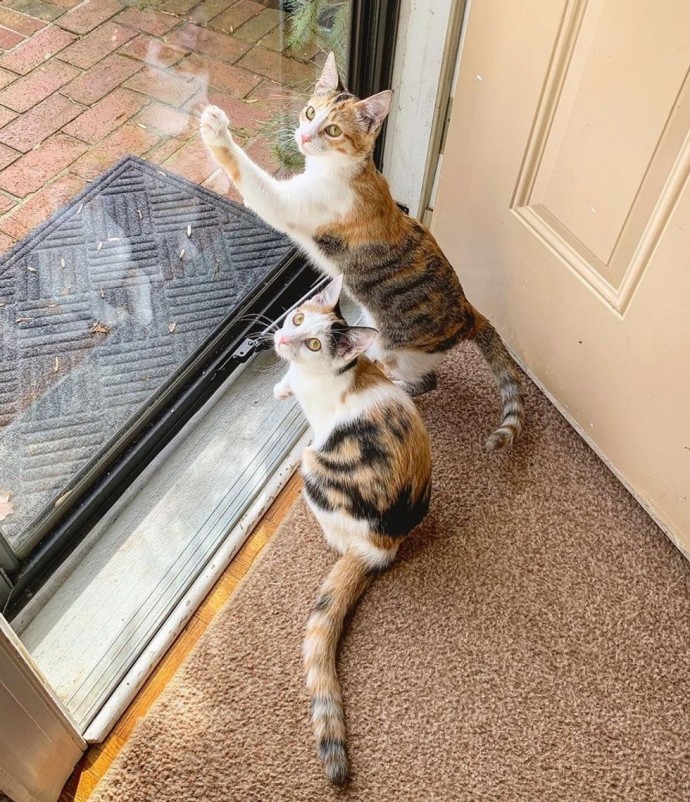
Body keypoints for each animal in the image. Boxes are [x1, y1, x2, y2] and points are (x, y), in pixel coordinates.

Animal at [202, 51, 524, 450]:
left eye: (333, 130)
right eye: (310, 112)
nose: (304, 136)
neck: (341, 169)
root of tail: (470, 312)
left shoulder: (287, 203)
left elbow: (250, 177)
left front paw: (215, 129)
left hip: (397, 350)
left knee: (425, 381)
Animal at [272, 274, 428, 780]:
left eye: (315, 344)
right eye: (298, 317)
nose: (282, 340)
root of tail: (383, 544)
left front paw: (285, 385)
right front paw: (281, 385)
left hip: (312, 466)